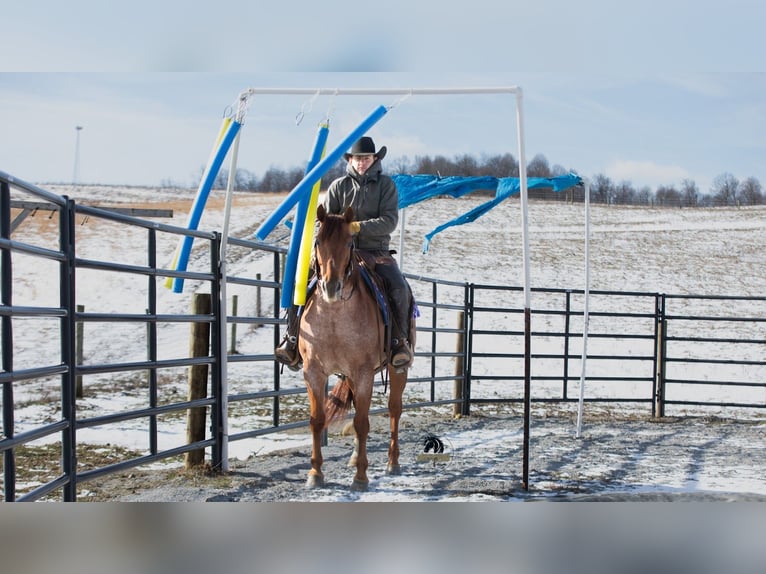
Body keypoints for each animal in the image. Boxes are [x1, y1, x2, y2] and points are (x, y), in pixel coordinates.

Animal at [298, 204, 415, 491]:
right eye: (318, 241)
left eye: (349, 242)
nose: (331, 286)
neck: (334, 315)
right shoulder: (314, 372)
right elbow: (317, 420)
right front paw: (315, 473)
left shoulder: (363, 373)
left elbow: (362, 423)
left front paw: (361, 477)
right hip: (351, 376)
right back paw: (353, 457)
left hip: (397, 371)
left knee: (394, 409)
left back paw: (392, 462)